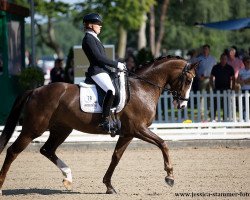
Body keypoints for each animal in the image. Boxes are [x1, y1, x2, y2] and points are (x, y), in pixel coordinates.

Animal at [0, 55, 197, 195]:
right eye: (188, 80)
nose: (182, 105)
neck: (143, 87)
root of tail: (35, 90)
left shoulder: (128, 133)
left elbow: (116, 157)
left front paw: (109, 186)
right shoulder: (139, 129)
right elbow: (163, 144)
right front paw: (169, 176)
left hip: (62, 129)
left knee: (47, 150)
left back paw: (68, 177)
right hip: (33, 129)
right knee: (13, 151)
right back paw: (1, 186)